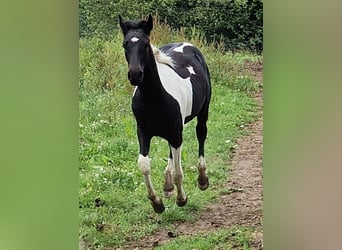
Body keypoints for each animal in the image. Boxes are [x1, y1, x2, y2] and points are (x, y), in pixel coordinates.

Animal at [119, 14, 212, 213]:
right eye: (125, 44)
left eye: (146, 43)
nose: (135, 75)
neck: (154, 100)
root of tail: (187, 44)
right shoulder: (143, 132)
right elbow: (144, 165)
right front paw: (157, 203)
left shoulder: (176, 133)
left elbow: (179, 172)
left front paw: (182, 199)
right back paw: (168, 185)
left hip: (202, 112)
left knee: (201, 134)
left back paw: (202, 179)